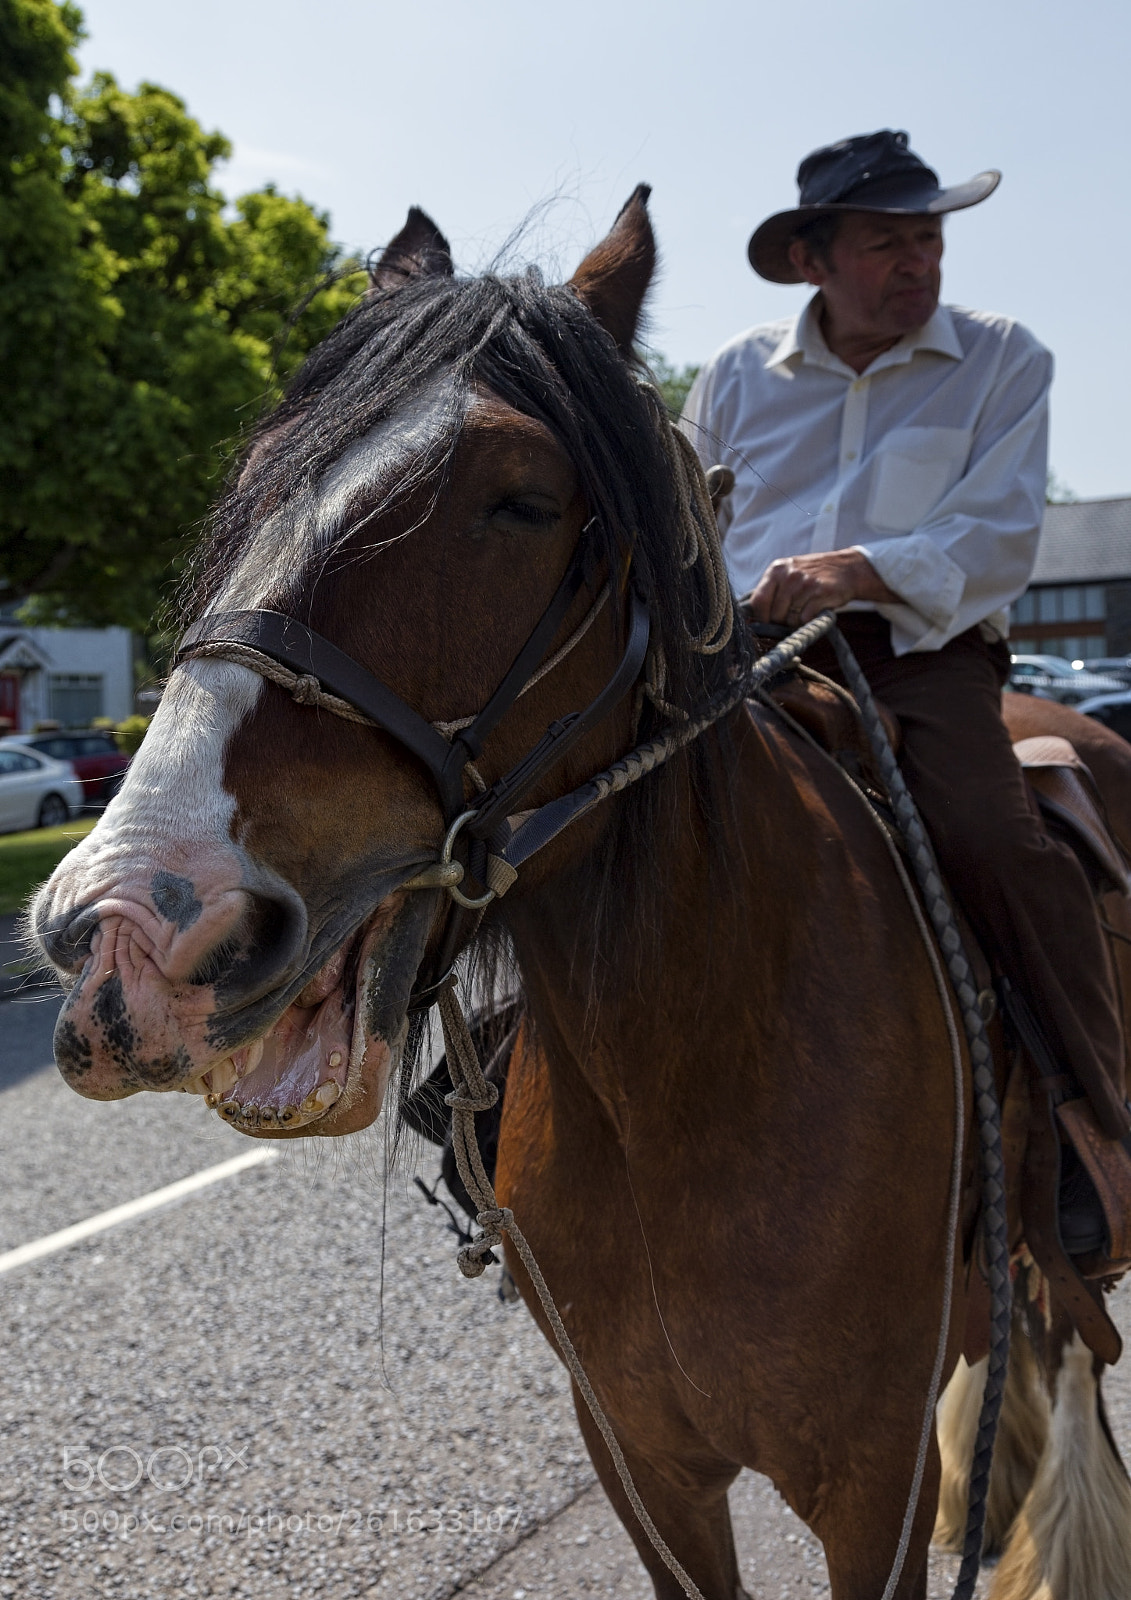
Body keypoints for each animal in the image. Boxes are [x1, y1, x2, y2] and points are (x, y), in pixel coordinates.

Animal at [30, 190, 1131, 1599]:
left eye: (522, 499)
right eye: (256, 477)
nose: (134, 929)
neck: (689, 1080)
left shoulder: (871, 1482)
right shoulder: (641, 1462)